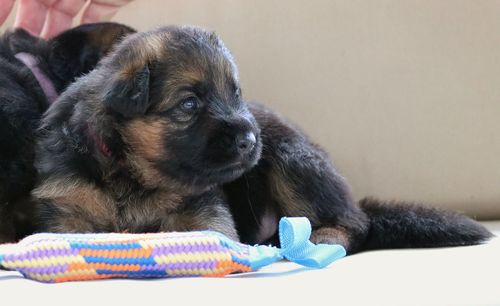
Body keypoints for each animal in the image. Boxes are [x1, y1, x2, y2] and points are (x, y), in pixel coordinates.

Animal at [34, 24, 492, 253]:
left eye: (234, 93)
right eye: (189, 104)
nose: (248, 139)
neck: (131, 174)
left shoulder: (204, 209)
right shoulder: (67, 209)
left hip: (292, 159)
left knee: (355, 223)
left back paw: (320, 239)